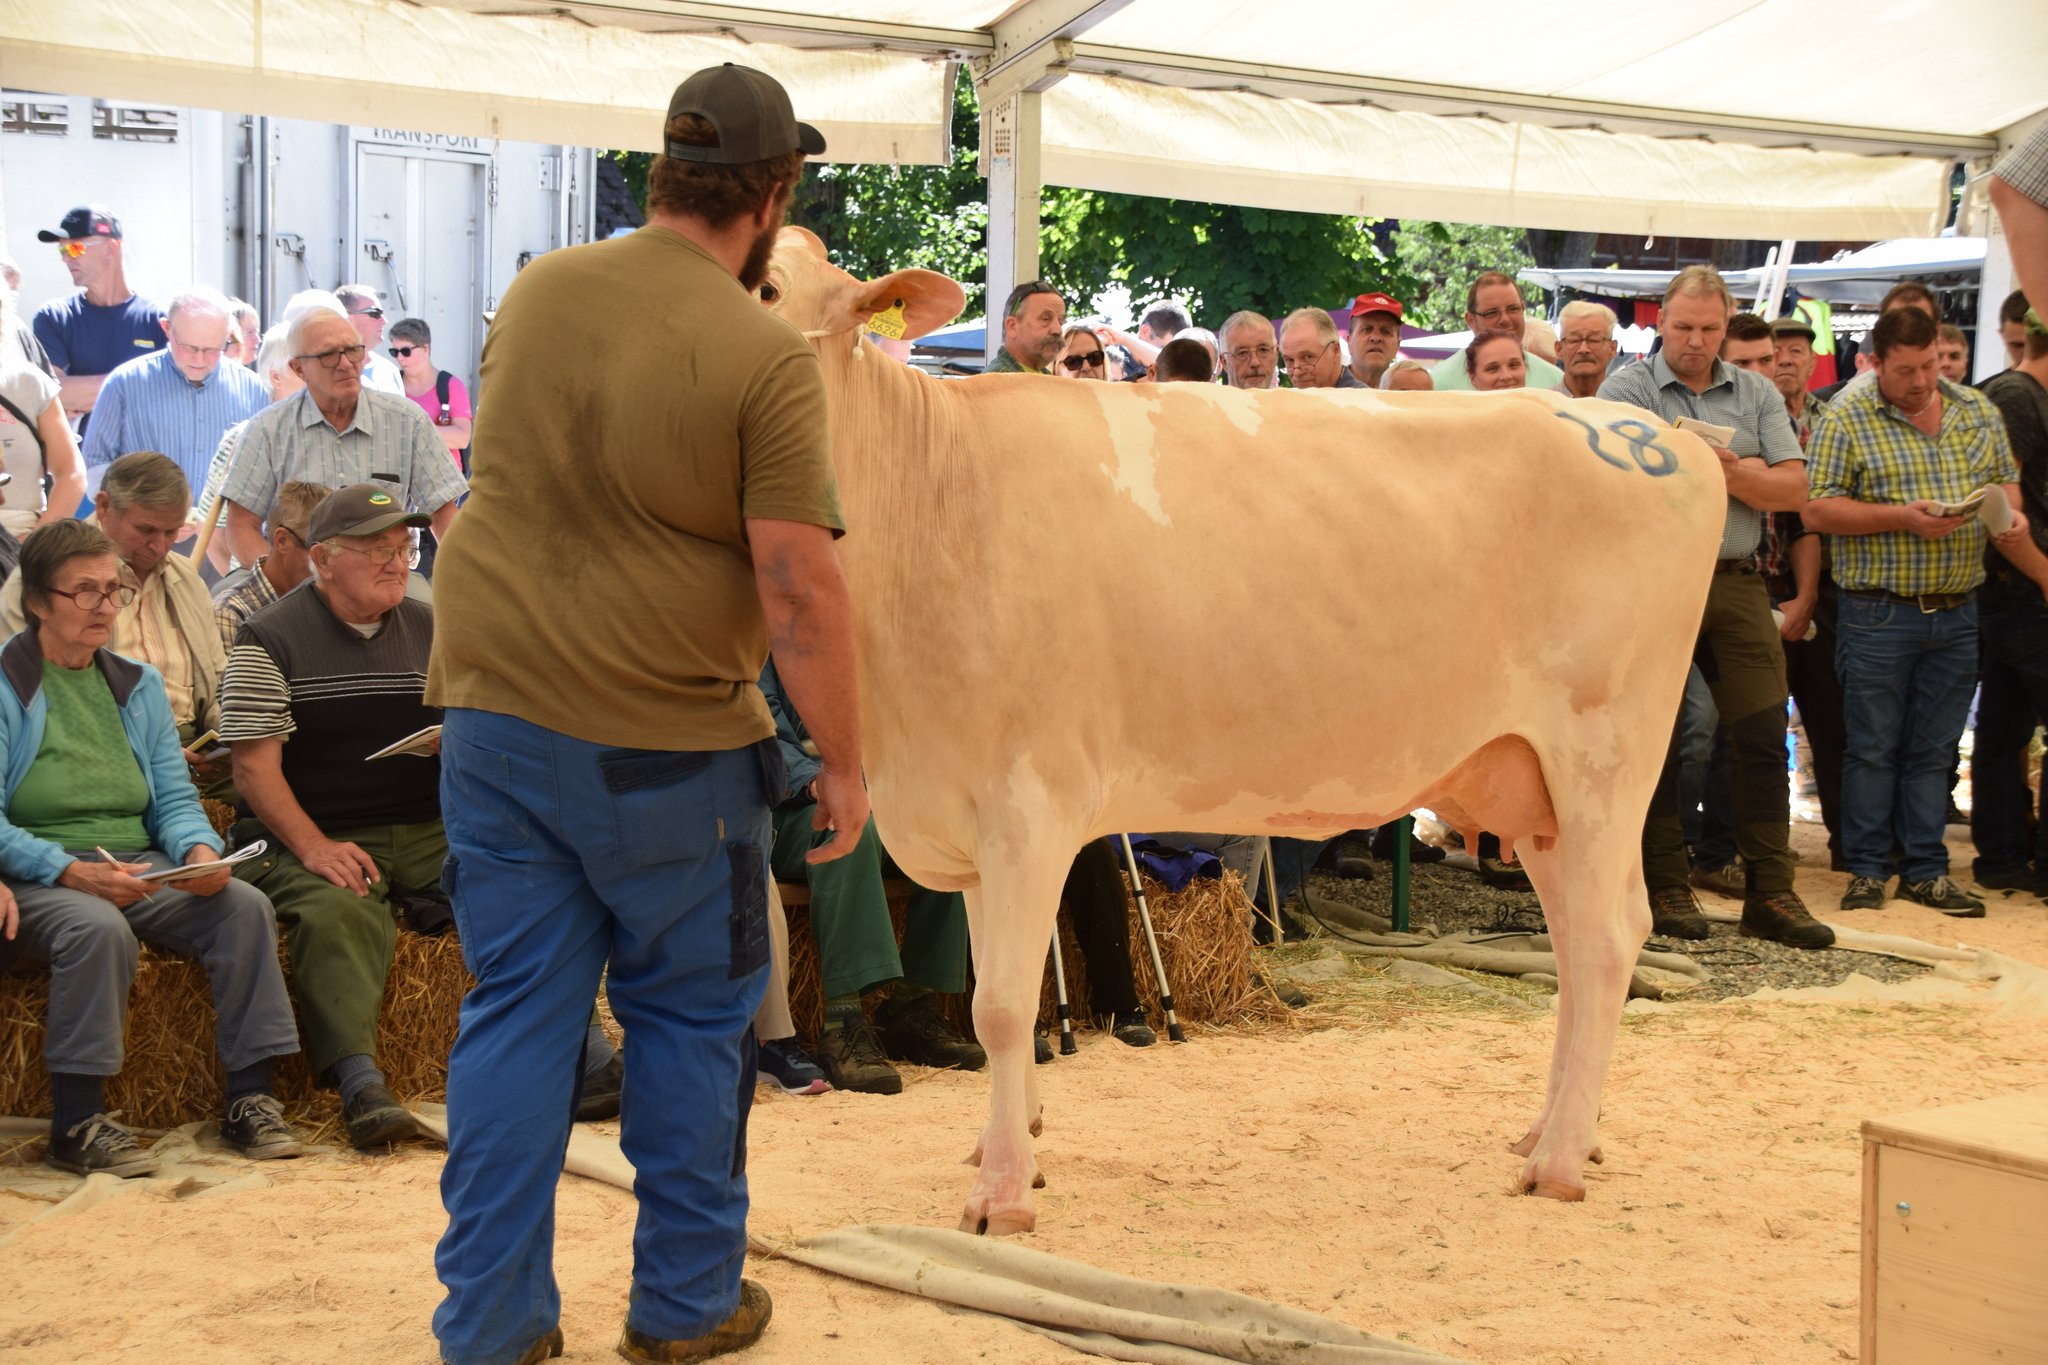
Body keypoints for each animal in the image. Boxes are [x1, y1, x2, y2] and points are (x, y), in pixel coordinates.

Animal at [760, 227, 1726, 1235]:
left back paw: (1561, 1160)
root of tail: (1664, 436)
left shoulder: (1028, 804)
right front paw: (1005, 1149)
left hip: (1605, 754)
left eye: (767, 286)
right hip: (1531, 787)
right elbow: (996, 996)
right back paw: (1549, 1131)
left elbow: (1001, 1006)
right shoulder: (968, 816)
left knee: (1608, 938)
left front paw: (1002, 1195)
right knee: (1576, 940)